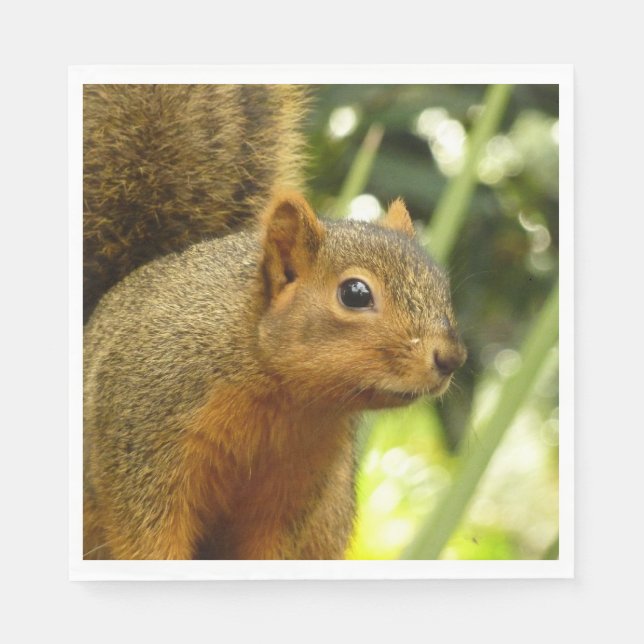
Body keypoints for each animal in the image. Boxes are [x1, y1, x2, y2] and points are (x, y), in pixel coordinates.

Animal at [82, 84, 467, 560]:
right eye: (355, 294)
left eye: (441, 285)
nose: (451, 358)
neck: (283, 398)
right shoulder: (143, 439)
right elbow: (147, 537)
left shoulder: (299, 484)